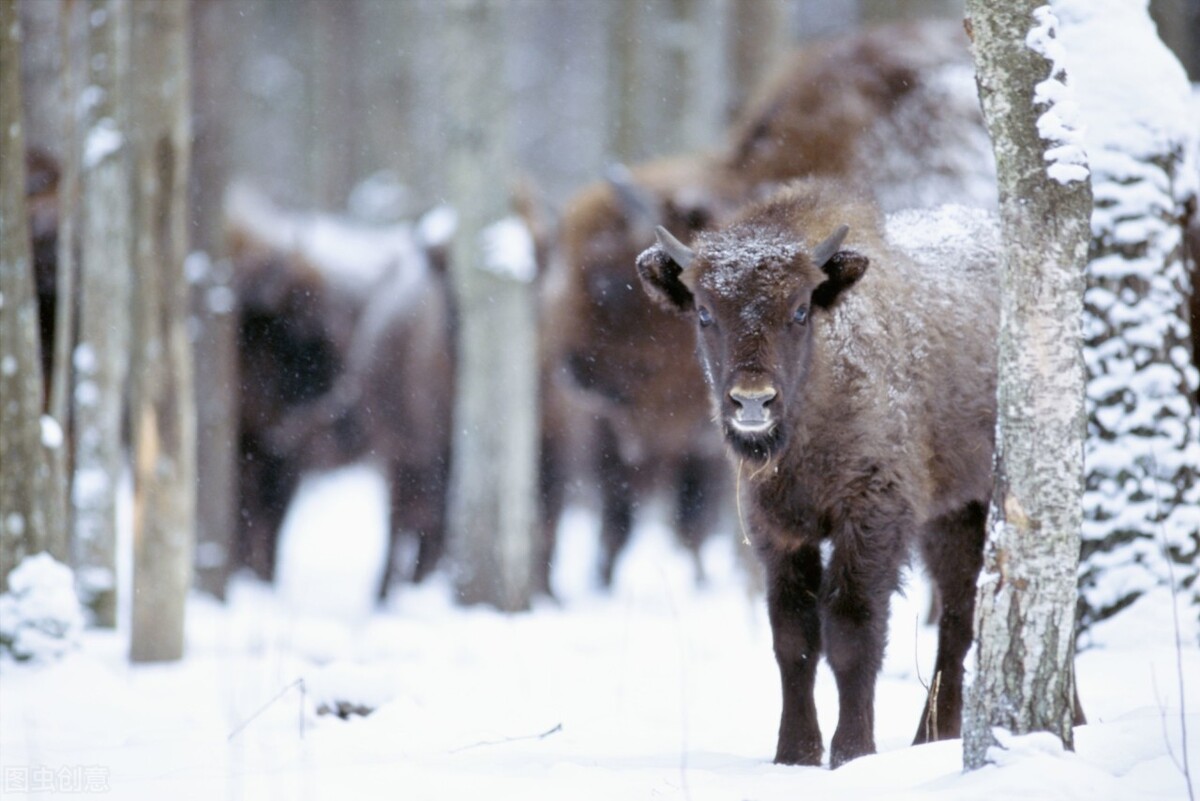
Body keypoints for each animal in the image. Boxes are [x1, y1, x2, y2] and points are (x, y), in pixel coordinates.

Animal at [638, 178, 1003, 767]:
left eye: (801, 309)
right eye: (704, 311)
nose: (753, 401)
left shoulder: (872, 517)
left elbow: (852, 630)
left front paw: (852, 750)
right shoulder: (779, 533)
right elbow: (794, 638)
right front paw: (795, 752)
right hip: (951, 515)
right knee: (958, 612)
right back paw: (934, 735)